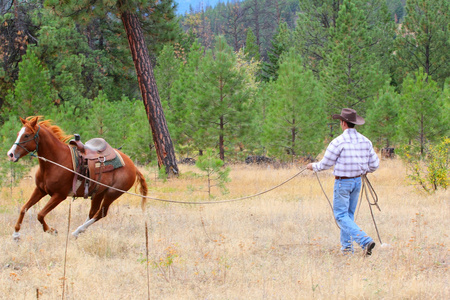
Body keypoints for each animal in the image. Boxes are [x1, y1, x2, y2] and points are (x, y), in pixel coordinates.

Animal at [7, 116, 148, 239]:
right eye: (19, 133)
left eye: (26, 135)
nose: (11, 154)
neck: (55, 161)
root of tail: (132, 165)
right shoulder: (40, 190)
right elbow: (23, 209)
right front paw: (16, 234)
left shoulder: (59, 196)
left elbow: (40, 214)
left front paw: (51, 230)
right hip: (99, 193)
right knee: (93, 212)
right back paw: (80, 231)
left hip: (112, 193)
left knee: (100, 213)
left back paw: (76, 231)